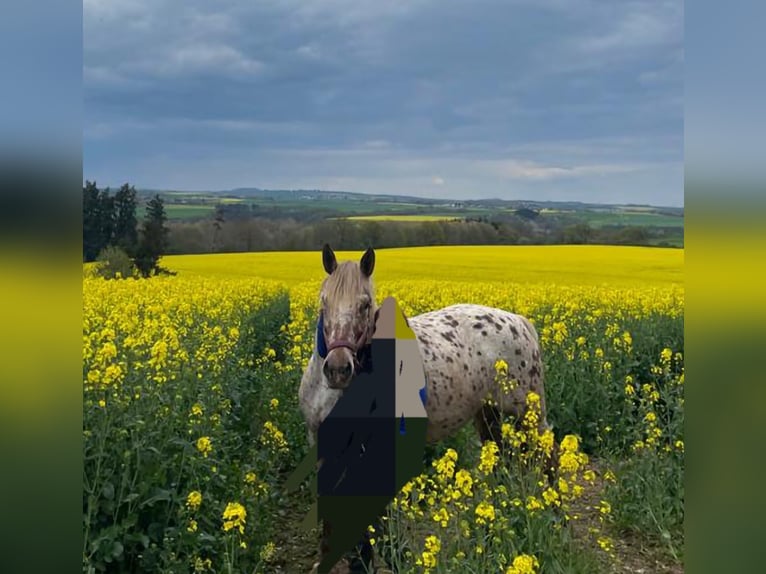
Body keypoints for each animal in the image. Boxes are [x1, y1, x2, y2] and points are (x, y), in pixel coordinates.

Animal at [298, 244, 555, 573]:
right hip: (487, 414)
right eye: (324, 301)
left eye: (365, 305)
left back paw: (556, 514)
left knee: (550, 455)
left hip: (528, 412)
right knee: (498, 459)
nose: (338, 369)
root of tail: (520, 322)